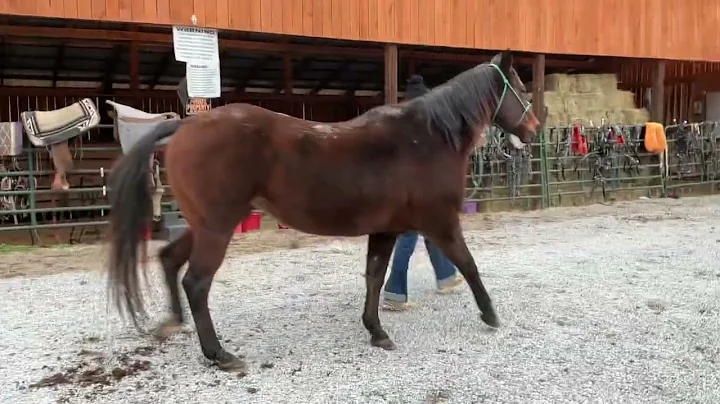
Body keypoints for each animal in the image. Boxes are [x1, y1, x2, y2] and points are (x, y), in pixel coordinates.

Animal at [107, 51, 540, 372]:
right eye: (520, 89)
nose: (534, 128)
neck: (426, 138)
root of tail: (184, 127)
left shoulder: (387, 229)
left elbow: (374, 277)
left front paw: (376, 331)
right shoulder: (441, 223)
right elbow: (468, 265)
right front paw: (490, 315)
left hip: (206, 224)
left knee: (169, 259)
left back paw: (173, 324)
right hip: (217, 228)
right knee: (196, 283)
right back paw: (220, 355)